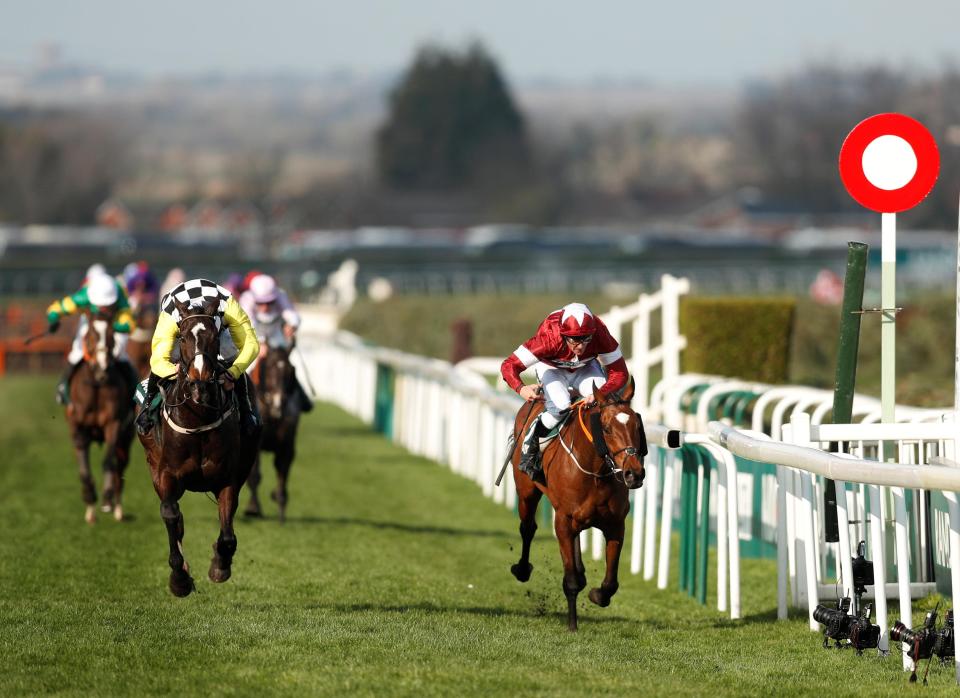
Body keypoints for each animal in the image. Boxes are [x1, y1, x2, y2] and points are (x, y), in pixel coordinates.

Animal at [64, 312, 137, 520]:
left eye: (112, 337)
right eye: (90, 336)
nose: (101, 369)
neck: (96, 385)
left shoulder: (114, 424)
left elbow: (107, 462)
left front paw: (106, 497)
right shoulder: (78, 428)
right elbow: (83, 468)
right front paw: (90, 497)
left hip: (126, 439)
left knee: (119, 467)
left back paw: (116, 506)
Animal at [135, 296, 260, 596]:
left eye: (214, 337)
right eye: (182, 337)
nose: (199, 380)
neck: (198, 416)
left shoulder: (228, 479)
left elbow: (227, 535)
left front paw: (219, 566)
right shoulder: (167, 474)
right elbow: (170, 514)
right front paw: (179, 578)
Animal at [244, 338, 300, 520]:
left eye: (290, 371)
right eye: (269, 368)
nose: (279, 401)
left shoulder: (287, 445)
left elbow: (282, 471)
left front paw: (281, 504)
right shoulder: (255, 444)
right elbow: (254, 476)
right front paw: (253, 508)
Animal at [510, 378, 644, 628]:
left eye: (637, 427)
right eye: (607, 429)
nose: (634, 474)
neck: (596, 472)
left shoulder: (615, 525)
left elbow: (611, 583)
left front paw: (597, 594)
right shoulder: (563, 520)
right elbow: (570, 579)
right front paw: (572, 625)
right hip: (526, 491)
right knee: (528, 528)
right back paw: (522, 569)